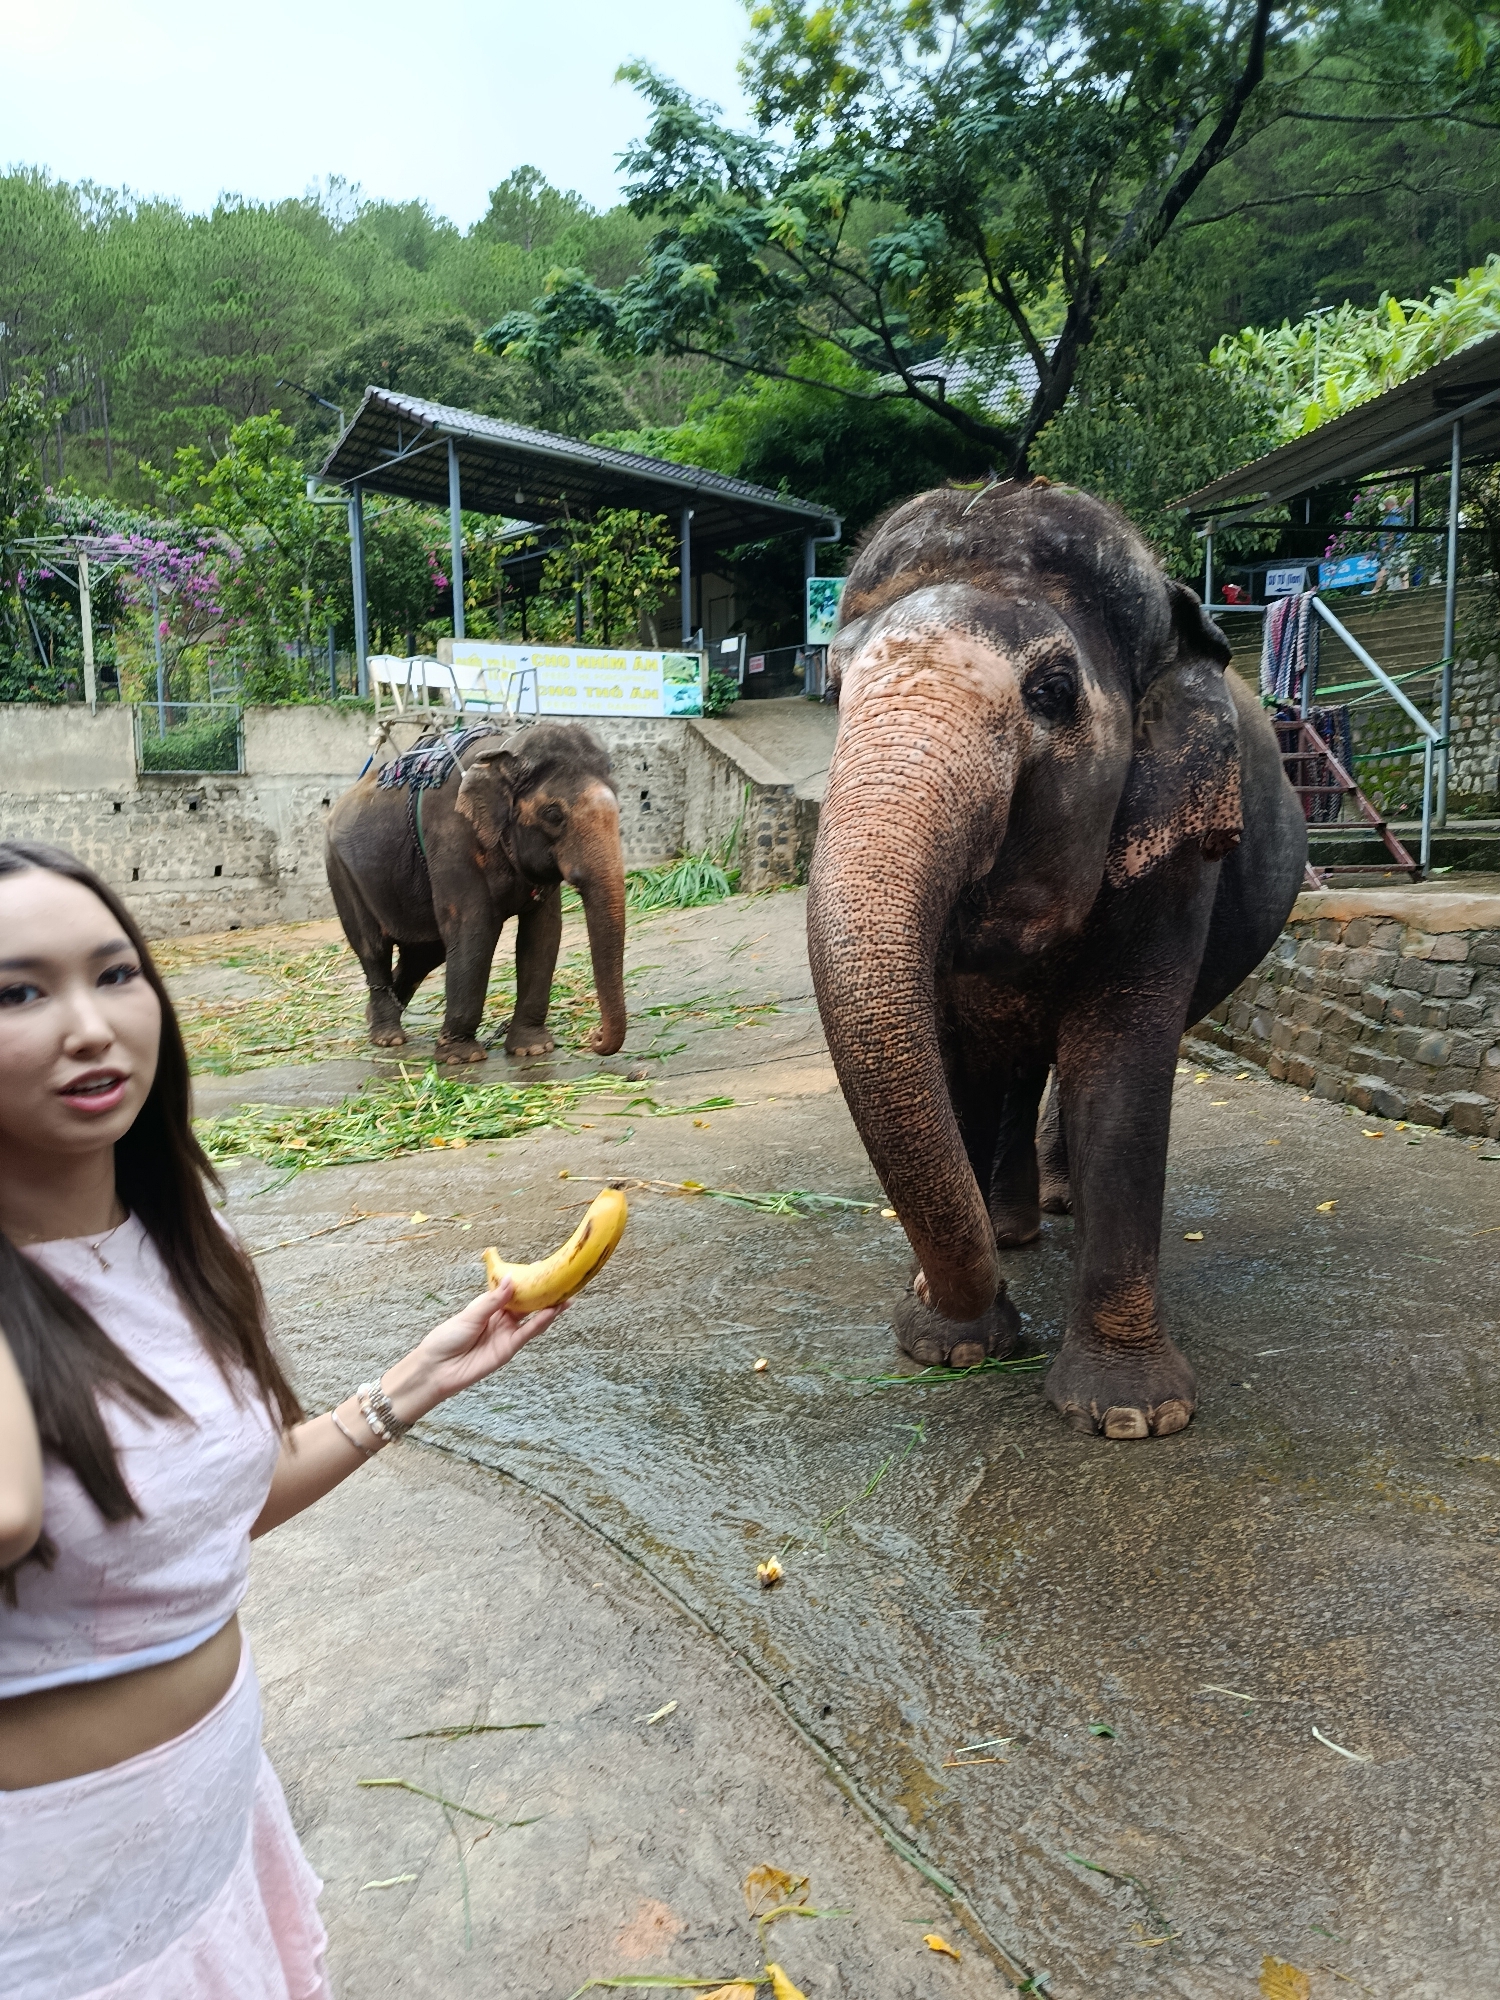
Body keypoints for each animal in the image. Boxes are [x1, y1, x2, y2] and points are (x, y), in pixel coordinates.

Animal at [325, 721, 627, 1064]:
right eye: (553, 815)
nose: (595, 1037)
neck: (505, 753)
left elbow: (544, 933)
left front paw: (533, 1049)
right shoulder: (453, 838)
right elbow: (474, 930)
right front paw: (461, 1057)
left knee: (424, 954)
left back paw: (377, 1019)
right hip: (341, 870)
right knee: (373, 948)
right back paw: (388, 1038)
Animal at [807, 480, 1307, 1441]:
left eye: (1053, 690)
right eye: (835, 688)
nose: (995, 1318)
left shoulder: (1174, 850)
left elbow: (1119, 1064)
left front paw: (1131, 1417)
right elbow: (957, 1058)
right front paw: (950, 1346)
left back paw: (1057, 1207)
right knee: (1015, 1059)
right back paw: (1012, 1229)